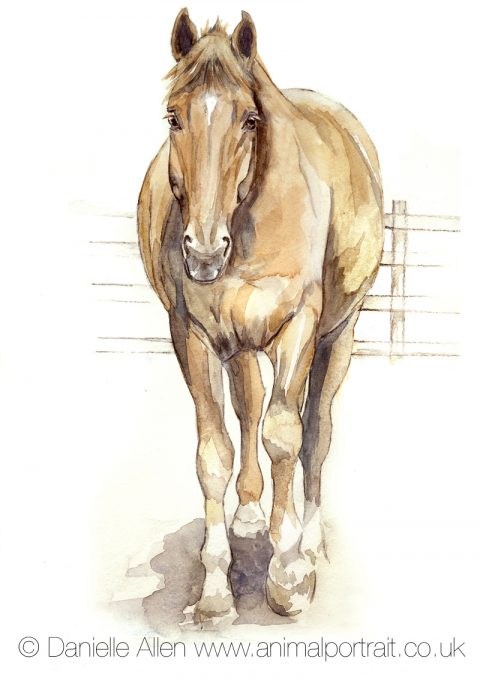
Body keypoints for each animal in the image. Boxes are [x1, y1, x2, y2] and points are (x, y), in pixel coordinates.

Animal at [138, 8, 384, 623]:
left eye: (250, 119)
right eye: (173, 117)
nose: (203, 252)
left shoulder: (300, 326)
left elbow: (285, 437)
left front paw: (289, 575)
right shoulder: (195, 336)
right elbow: (215, 453)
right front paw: (215, 590)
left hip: (338, 336)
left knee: (315, 431)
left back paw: (309, 538)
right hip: (240, 344)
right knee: (248, 410)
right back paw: (251, 515)